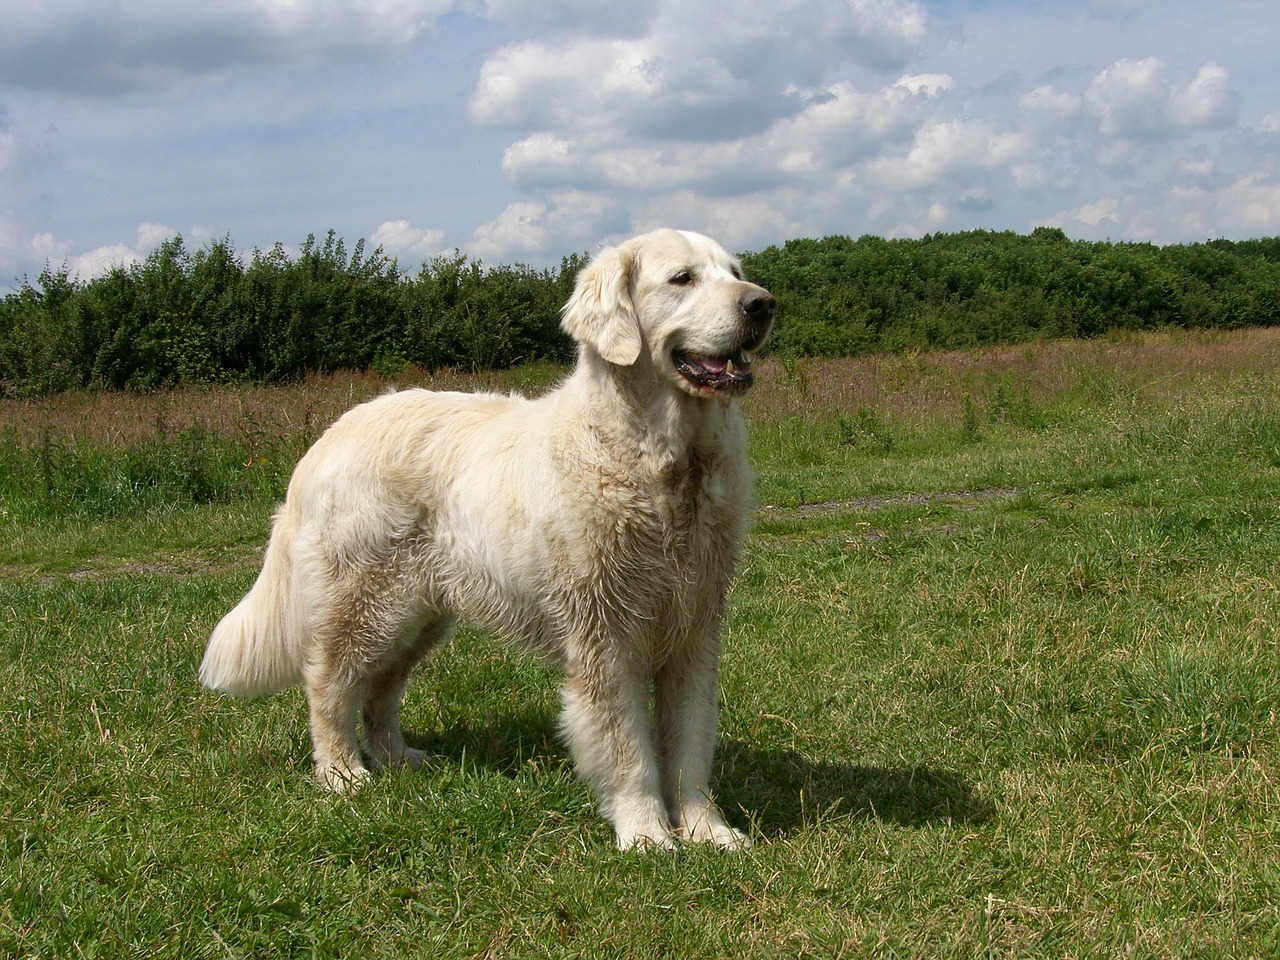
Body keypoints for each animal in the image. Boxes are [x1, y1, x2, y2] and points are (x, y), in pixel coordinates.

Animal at [199, 227, 773, 849]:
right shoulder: (605, 638)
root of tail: (328, 437)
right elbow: (628, 749)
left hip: (418, 614)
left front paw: (707, 831)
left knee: (380, 691)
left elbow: (690, 745)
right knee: (328, 683)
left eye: (735, 271)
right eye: (682, 278)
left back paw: (398, 759)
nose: (762, 304)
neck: (664, 463)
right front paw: (645, 834)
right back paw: (342, 773)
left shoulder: (693, 629)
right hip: (365, 605)